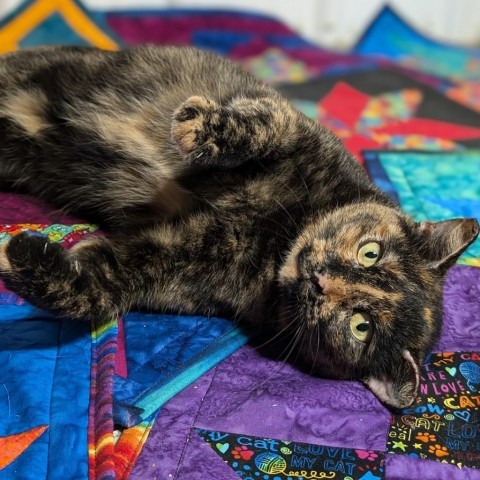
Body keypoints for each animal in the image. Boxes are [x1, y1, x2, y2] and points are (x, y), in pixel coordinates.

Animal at [0, 47, 476, 408]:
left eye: (361, 326)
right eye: (370, 252)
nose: (320, 280)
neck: (276, 237)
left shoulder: (165, 261)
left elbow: (94, 289)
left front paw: (18, 255)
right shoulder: (298, 131)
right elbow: (265, 124)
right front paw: (198, 126)